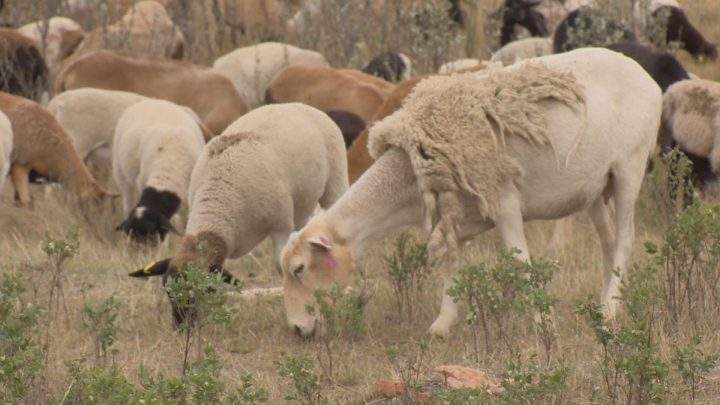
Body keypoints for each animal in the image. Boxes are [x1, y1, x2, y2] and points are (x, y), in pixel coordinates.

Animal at [113, 99, 207, 241]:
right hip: (122, 175)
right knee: (128, 202)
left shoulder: (187, 202)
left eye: (151, 233)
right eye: (130, 233)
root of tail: (154, 100)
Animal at [127, 102, 349, 326]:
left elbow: (282, 266)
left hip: (335, 180)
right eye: (167, 290)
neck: (219, 201)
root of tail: (296, 104)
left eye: (206, 290)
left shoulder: (280, 225)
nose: (182, 328)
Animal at [280, 48, 661, 337]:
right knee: (608, 241)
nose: (298, 329)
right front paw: (442, 324)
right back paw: (605, 303)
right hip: (594, 186)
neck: (409, 175)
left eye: (299, 269)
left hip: (629, 168)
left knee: (625, 238)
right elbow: (452, 261)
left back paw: (610, 313)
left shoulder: (503, 200)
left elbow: (519, 262)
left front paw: (543, 323)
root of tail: (644, 74)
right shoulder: (462, 212)